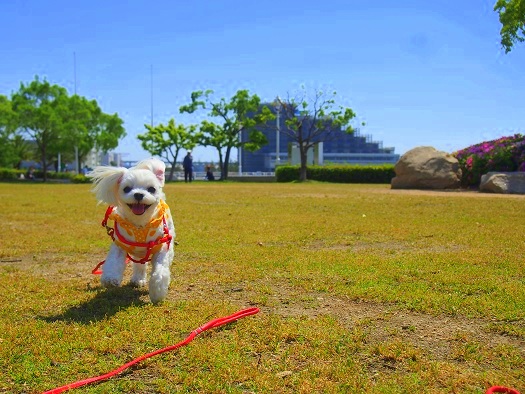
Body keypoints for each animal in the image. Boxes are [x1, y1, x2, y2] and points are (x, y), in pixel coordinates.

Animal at [87, 159, 174, 304]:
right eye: (127, 188)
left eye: (151, 189)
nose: (138, 194)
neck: (139, 224)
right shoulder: (119, 245)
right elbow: (113, 261)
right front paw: (110, 279)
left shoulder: (161, 247)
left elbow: (160, 271)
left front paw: (157, 292)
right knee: (139, 264)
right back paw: (138, 279)